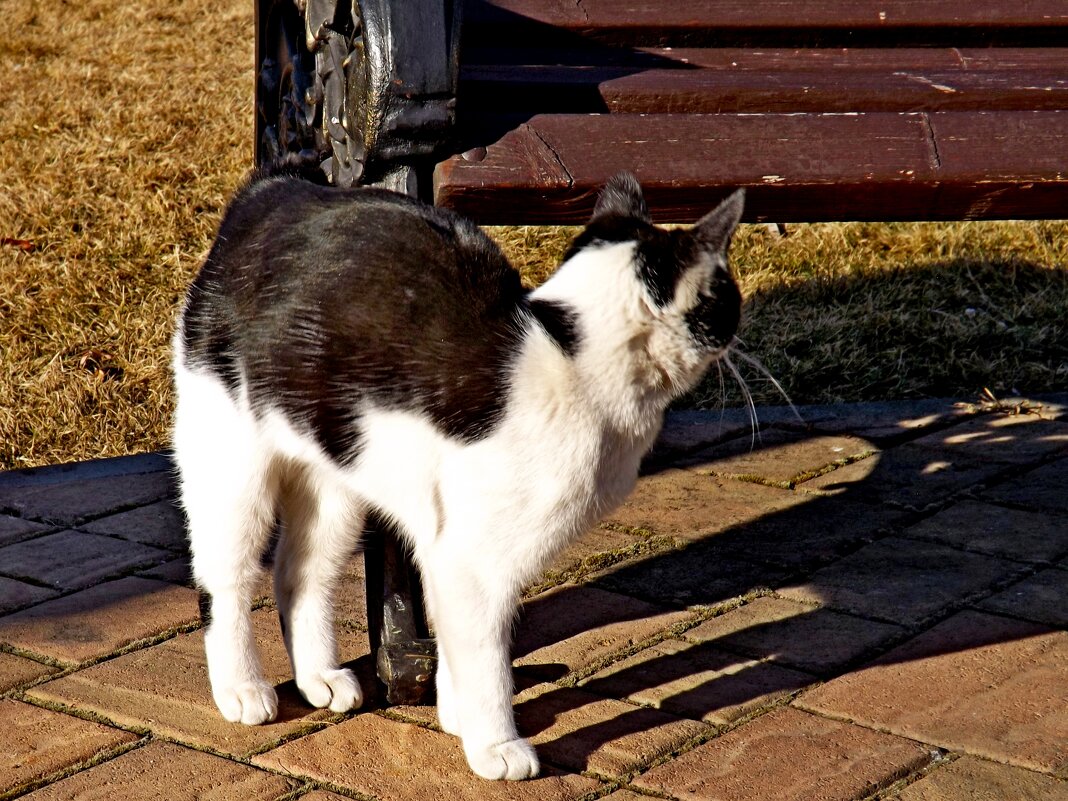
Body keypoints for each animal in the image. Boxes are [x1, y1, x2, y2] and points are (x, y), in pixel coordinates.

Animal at [173, 160, 743, 781]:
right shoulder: (470, 561)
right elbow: (487, 660)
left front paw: (458, 713)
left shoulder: (443, 548)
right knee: (223, 579)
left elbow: (454, 641)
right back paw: (240, 686)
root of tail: (277, 187)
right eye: (728, 296)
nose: (738, 325)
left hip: (336, 484)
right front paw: (495, 741)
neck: (571, 360)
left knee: (299, 572)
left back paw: (317, 676)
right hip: (232, 472)